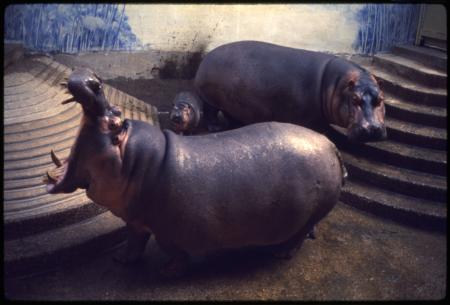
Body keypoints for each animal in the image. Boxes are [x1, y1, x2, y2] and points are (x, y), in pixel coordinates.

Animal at [45, 68, 346, 276]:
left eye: (114, 121)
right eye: (117, 110)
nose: (94, 80)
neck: (134, 163)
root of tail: (331, 145)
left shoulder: (169, 232)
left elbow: (176, 254)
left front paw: (166, 272)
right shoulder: (135, 220)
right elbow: (134, 241)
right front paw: (121, 261)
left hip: (311, 213)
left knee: (297, 237)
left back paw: (281, 255)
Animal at [193, 39, 386, 142]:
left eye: (381, 99)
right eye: (354, 99)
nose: (372, 129)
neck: (337, 84)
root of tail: (207, 56)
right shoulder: (315, 120)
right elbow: (329, 132)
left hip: (234, 103)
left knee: (231, 114)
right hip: (210, 98)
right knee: (210, 112)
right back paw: (216, 127)